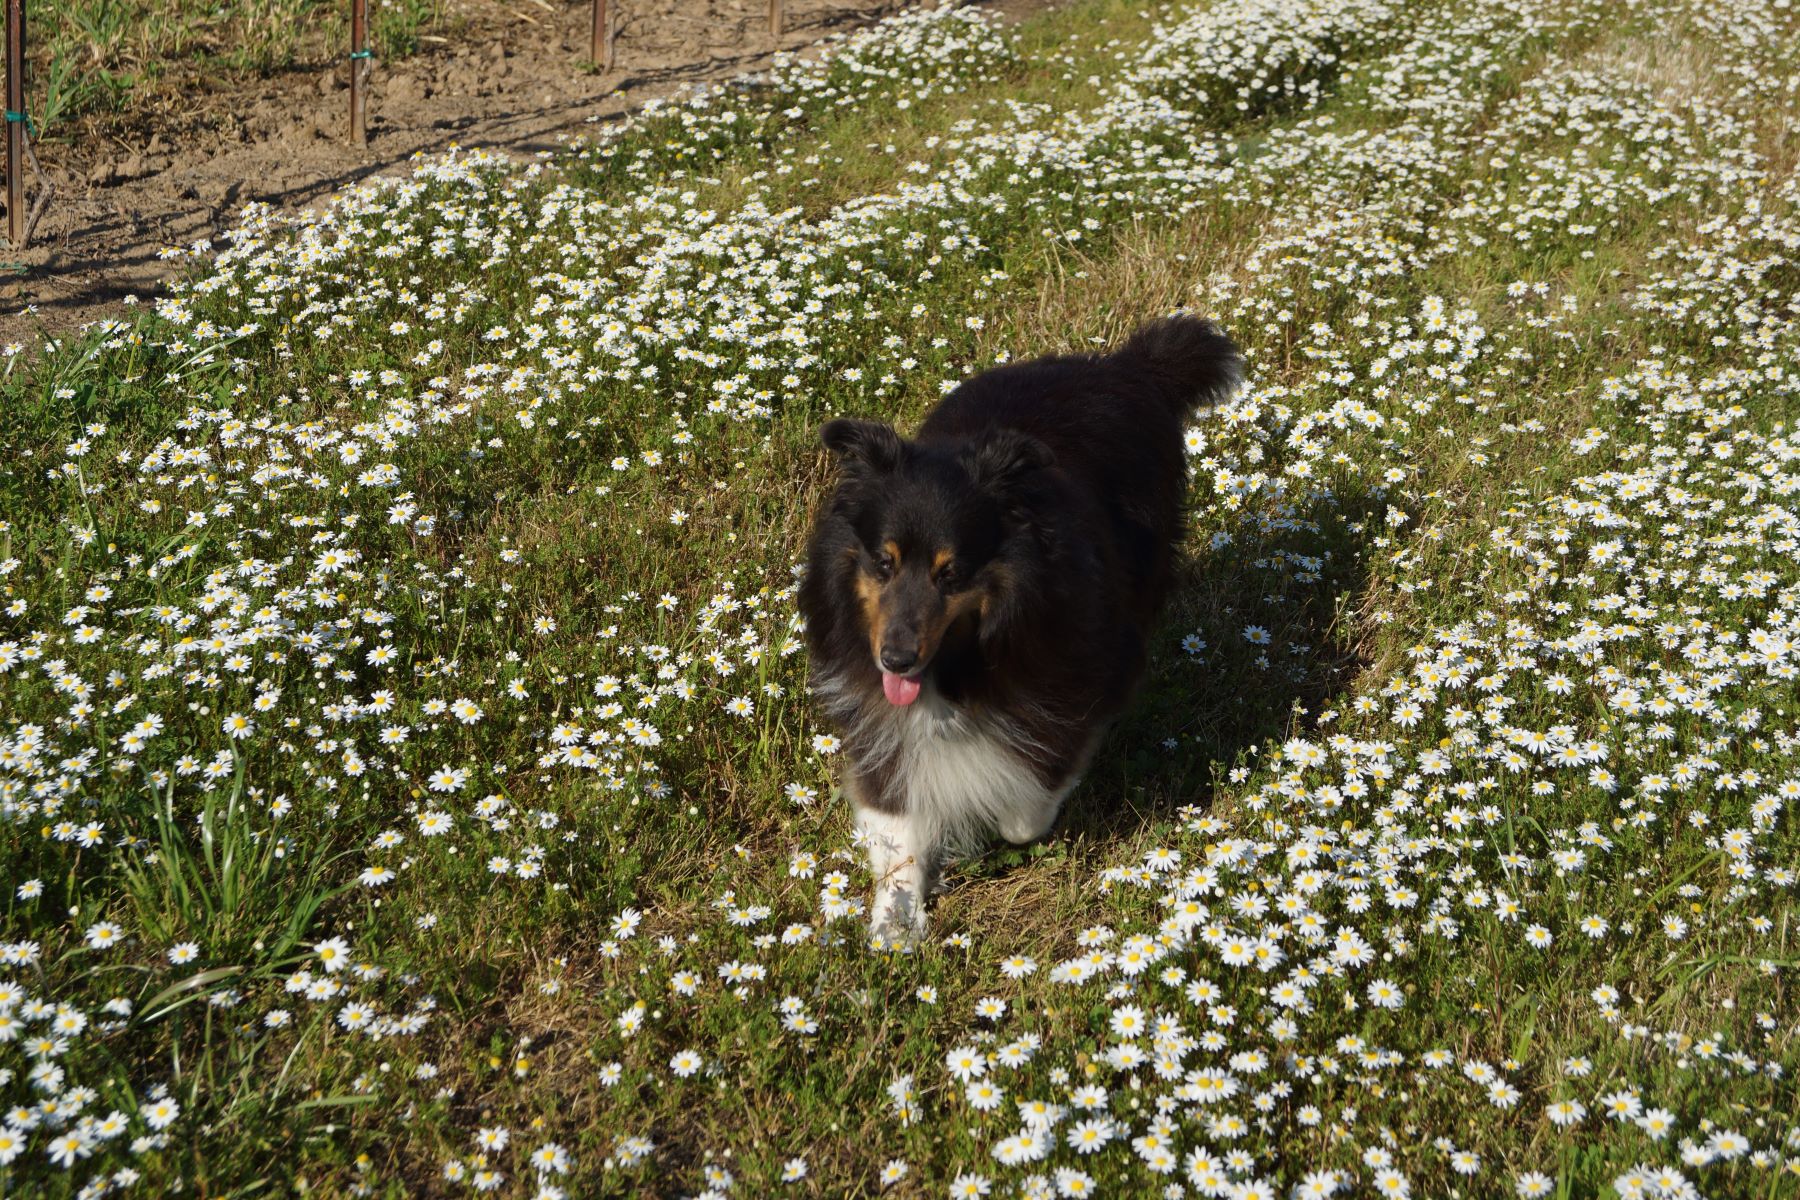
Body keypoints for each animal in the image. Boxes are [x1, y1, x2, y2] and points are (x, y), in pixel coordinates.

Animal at [795, 314, 1245, 935]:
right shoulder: (880, 717)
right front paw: (896, 922)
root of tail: (1124, 365)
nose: (895, 660)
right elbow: (896, 821)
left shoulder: (1068, 683)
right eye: (883, 562)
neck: (957, 662)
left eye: (951, 573)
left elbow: (1025, 807)